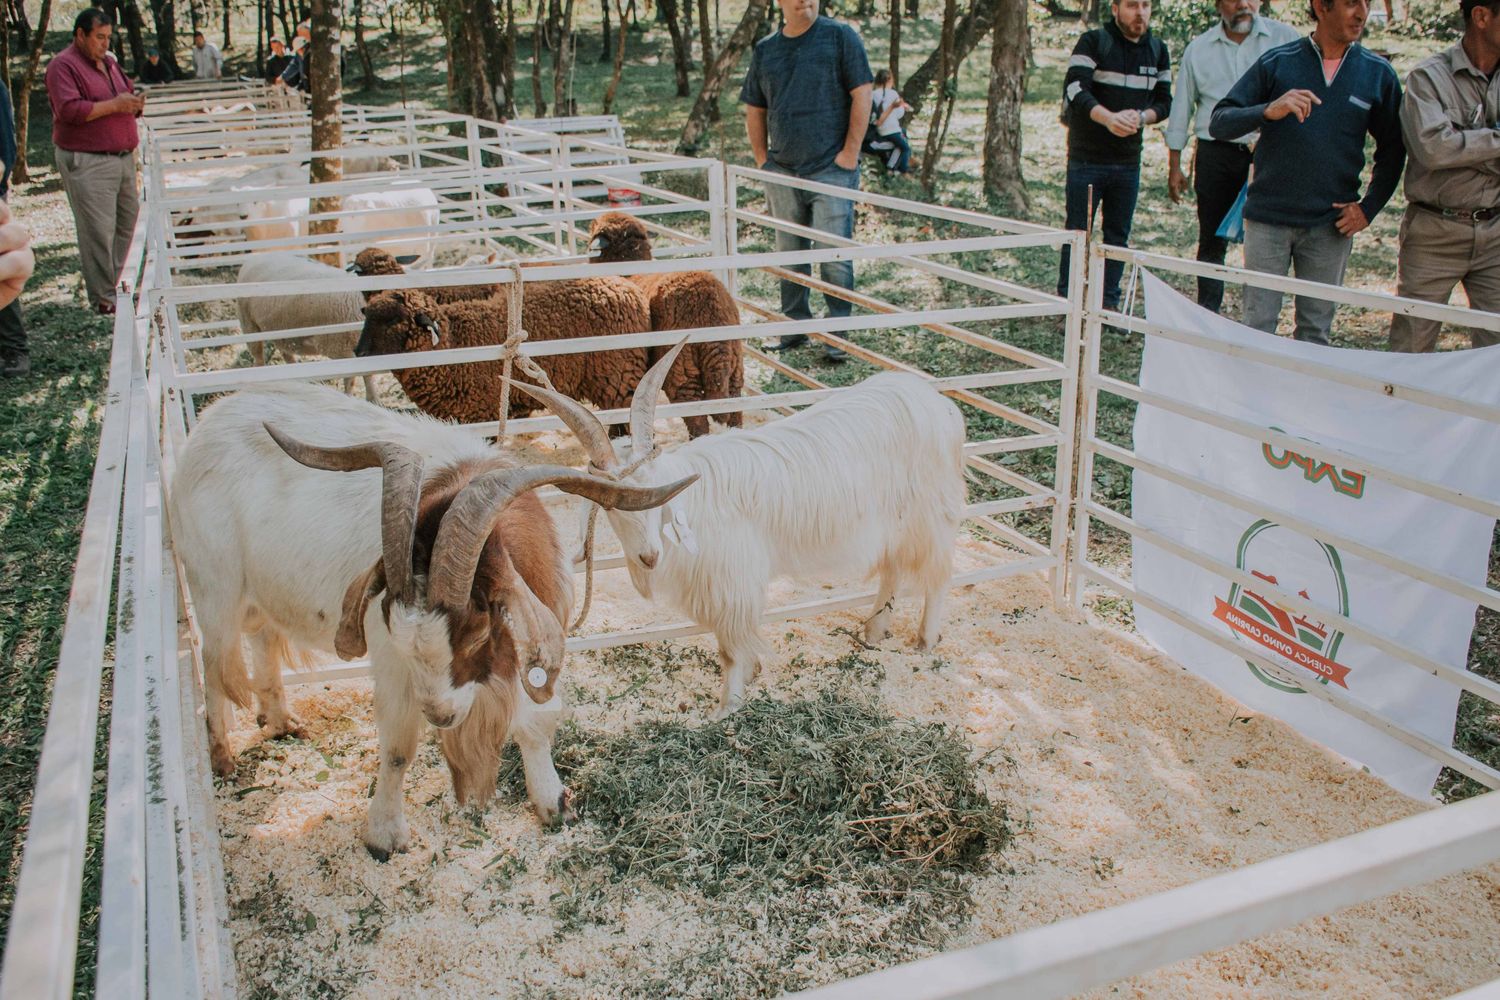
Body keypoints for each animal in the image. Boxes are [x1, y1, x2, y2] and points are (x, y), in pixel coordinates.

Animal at [360, 284, 654, 434]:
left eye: (394, 319)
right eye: (366, 316)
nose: (358, 353)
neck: (453, 342)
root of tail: (629, 289)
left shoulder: (480, 413)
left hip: (618, 376)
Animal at [522, 347, 966, 716]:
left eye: (656, 492)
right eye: (611, 506)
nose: (649, 556)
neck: (693, 506)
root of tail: (939, 405)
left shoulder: (732, 582)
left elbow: (729, 649)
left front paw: (727, 707)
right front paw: (750, 677)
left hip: (929, 517)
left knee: (939, 574)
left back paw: (925, 640)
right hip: (898, 526)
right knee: (893, 569)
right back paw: (874, 630)